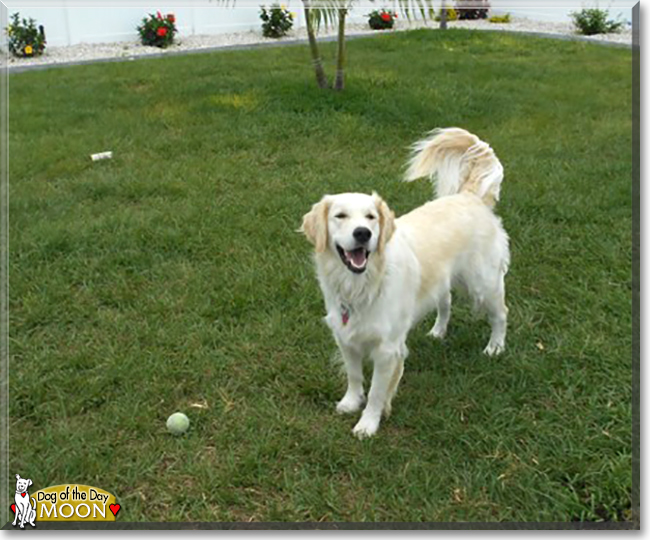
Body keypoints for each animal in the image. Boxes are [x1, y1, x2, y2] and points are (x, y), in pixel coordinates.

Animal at [298, 127, 506, 438]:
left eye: (371, 217)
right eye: (340, 216)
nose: (363, 233)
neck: (363, 284)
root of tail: (470, 196)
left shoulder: (387, 349)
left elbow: (376, 391)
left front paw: (368, 424)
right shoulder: (344, 335)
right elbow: (354, 375)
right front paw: (350, 402)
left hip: (483, 283)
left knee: (501, 314)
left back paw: (495, 347)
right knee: (446, 302)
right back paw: (438, 331)